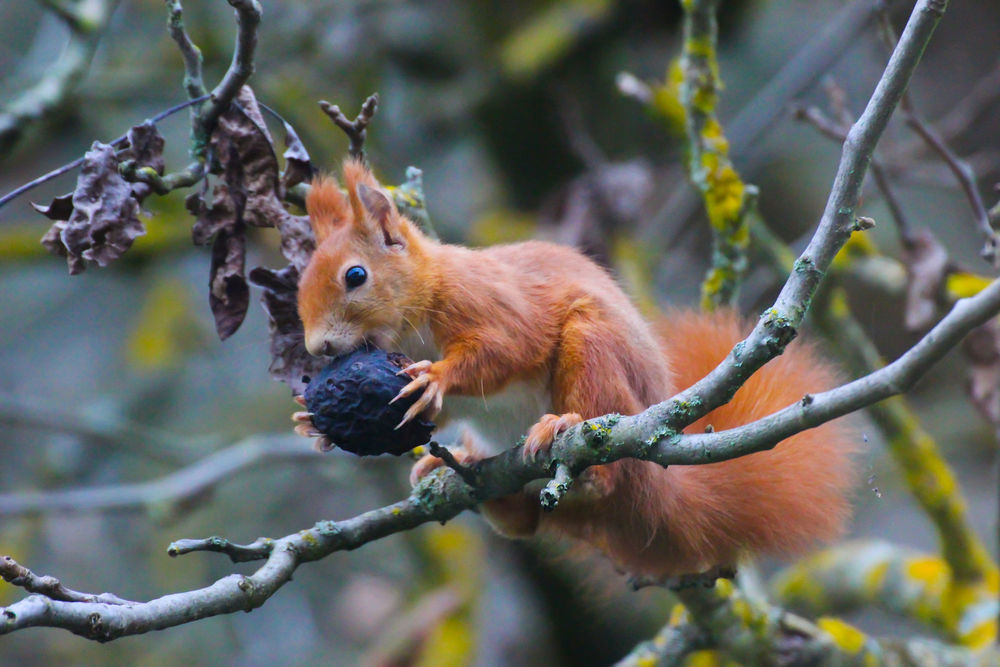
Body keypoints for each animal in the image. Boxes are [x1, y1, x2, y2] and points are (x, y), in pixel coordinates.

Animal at [293, 159, 857, 580]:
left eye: (356, 275)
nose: (318, 346)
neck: (411, 327)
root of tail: (657, 484)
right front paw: (311, 423)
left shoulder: (485, 303)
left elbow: (505, 350)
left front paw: (435, 376)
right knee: (522, 523)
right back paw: (455, 467)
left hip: (595, 356)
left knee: (601, 463)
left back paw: (567, 434)